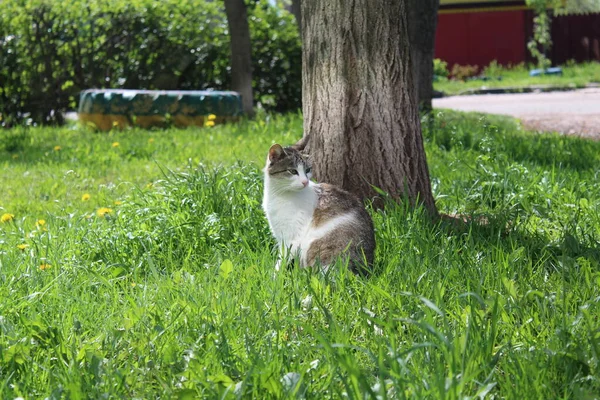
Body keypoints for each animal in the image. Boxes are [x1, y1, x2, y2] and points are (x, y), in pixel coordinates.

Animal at [262, 144, 376, 276]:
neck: (279, 194)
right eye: (293, 171)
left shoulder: (292, 239)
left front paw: (275, 277)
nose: (305, 182)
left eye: (307, 170)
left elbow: (282, 261)